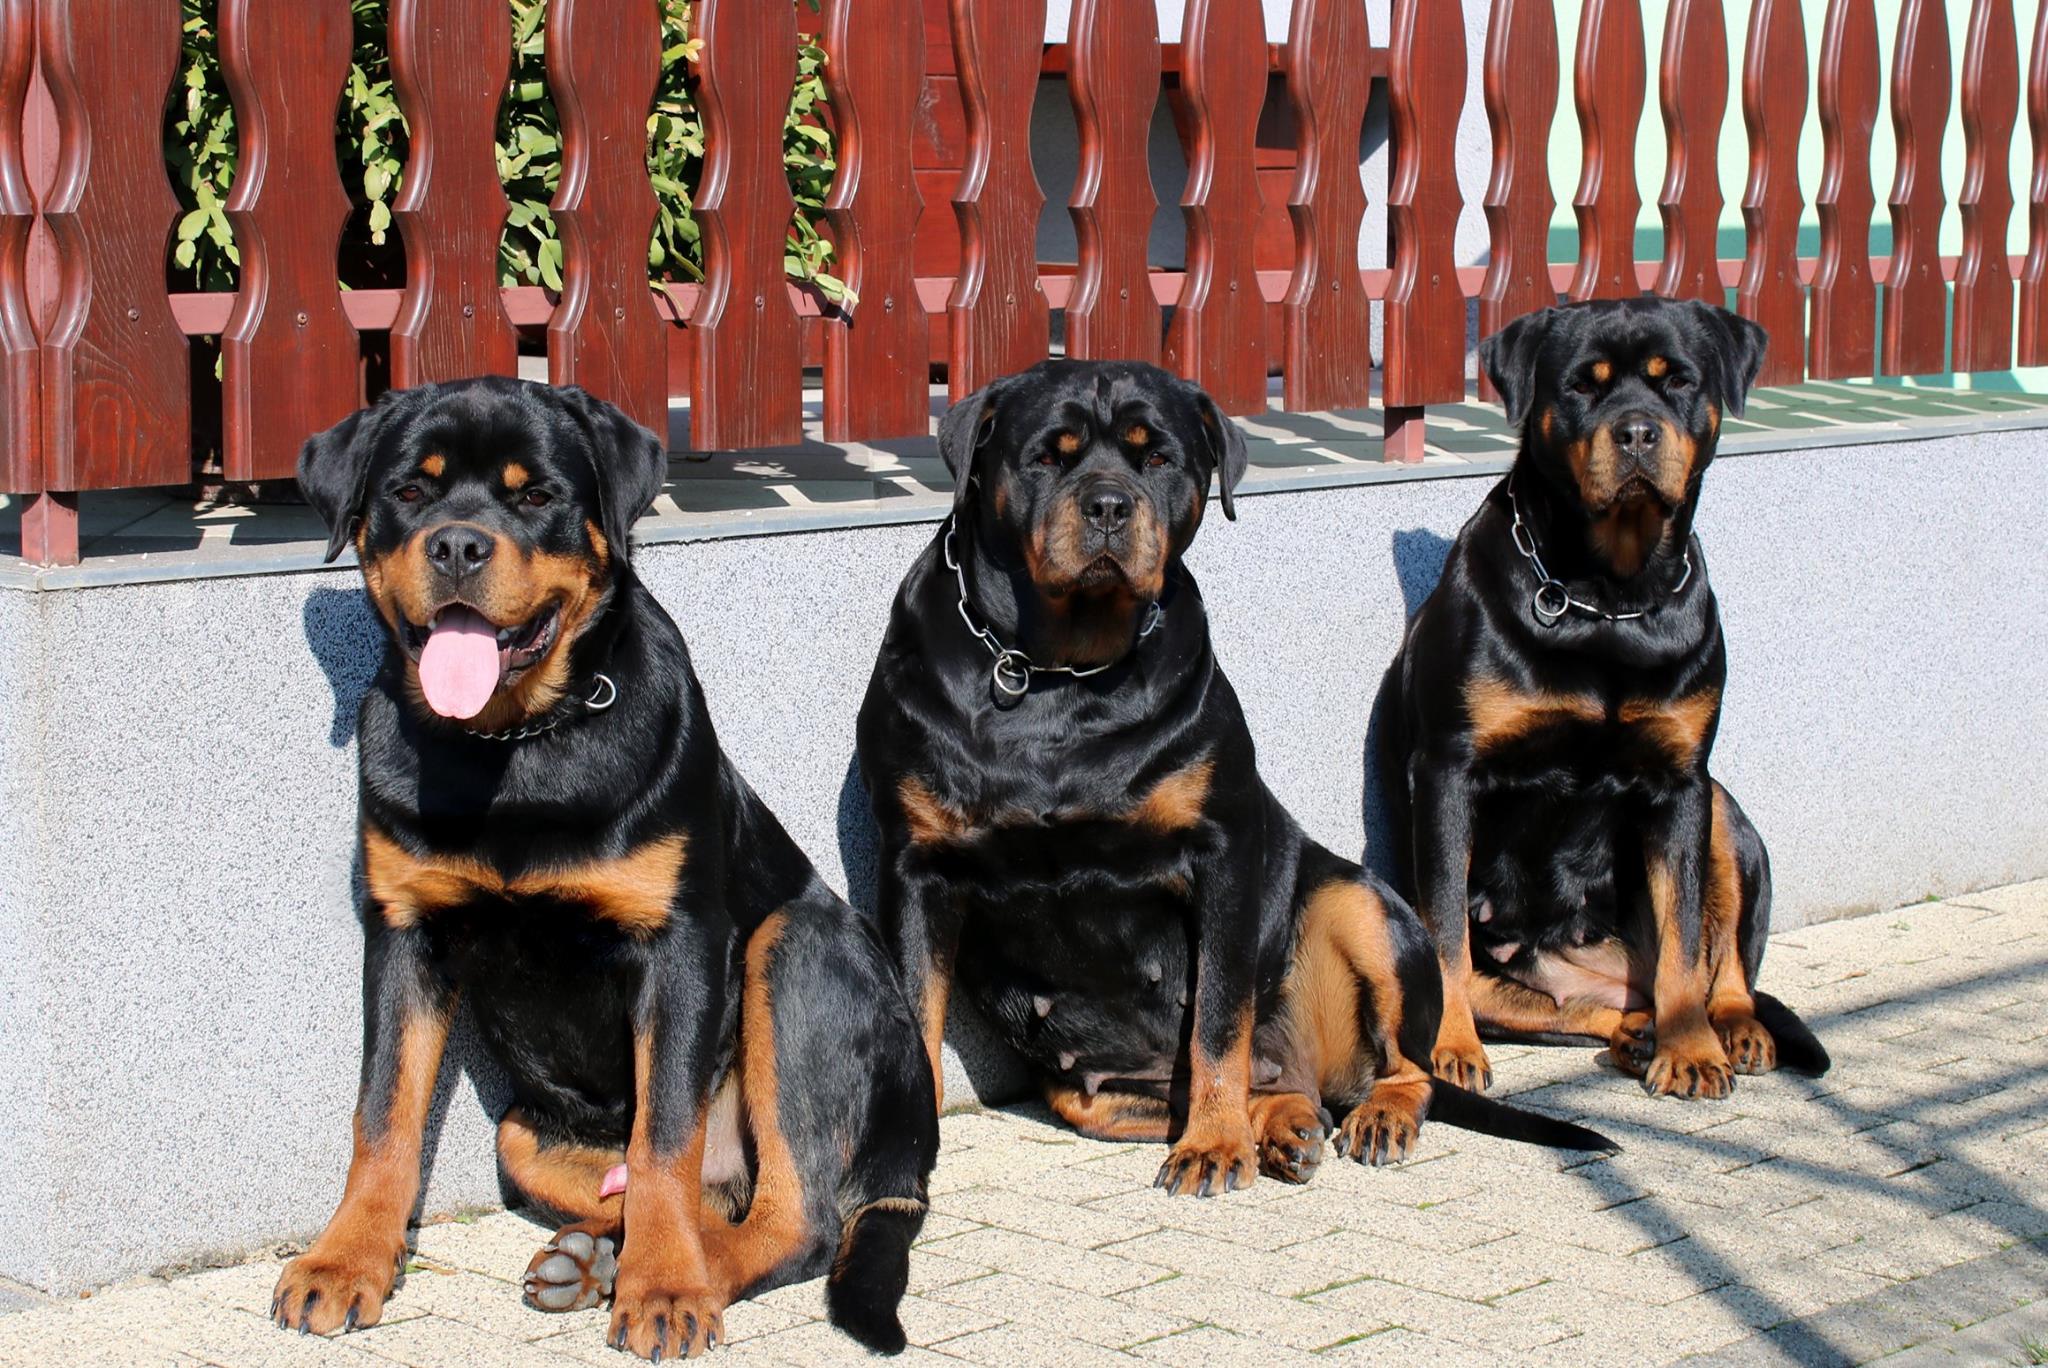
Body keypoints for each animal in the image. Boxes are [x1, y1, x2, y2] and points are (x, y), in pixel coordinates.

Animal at [278, 370, 937, 1359]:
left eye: (536, 497)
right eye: (410, 491)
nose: (459, 543)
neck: (515, 743)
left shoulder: (679, 942)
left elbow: (664, 1136)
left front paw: (664, 1290)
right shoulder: (402, 931)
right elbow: (383, 1115)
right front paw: (345, 1259)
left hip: (792, 952)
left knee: (794, 1218)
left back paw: (660, 1268)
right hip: (523, 1129)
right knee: (684, 1188)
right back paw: (589, 1256)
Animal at [851, 358, 1613, 1187]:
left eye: (1157, 458)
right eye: (1048, 456)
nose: (1109, 505)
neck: (1056, 672)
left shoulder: (1222, 852)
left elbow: (1219, 1016)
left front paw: (1212, 1144)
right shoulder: (916, 867)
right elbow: (916, 1013)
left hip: (1359, 903)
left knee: (1402, 1064)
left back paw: (1371, 1118)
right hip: (1084, 1095)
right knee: (1275, 1086)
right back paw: (1285, 1126)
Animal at [1384, 296, 1835, 1097]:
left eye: (1677, 380)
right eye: (1581, 386)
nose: (1635, 430)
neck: (1608, 599)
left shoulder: (1681, 781)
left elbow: (1685, 934)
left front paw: (1691, 1052)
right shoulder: (1446, 771)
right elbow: (1444, 932)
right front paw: (1451, 1045)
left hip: (1722, 812)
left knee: (1722, 964)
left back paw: (1727, 1030)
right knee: (1563, 1002)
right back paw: (1633, 1033)